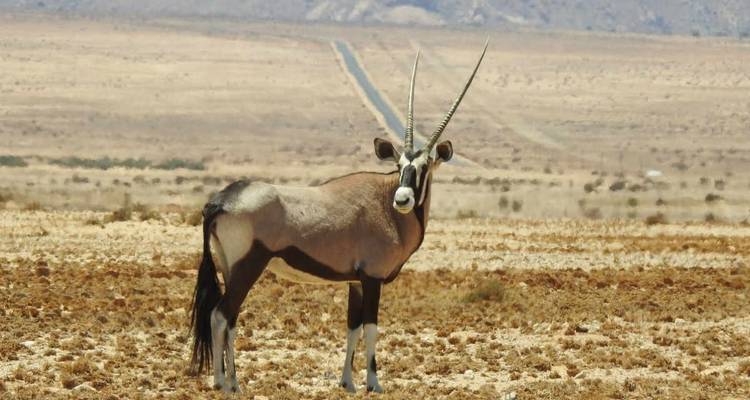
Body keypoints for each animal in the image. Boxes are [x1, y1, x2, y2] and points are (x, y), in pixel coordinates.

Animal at [189, 41, 487, 394]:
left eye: (423, 167)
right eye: (400, 165)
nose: (402, 199)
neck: (384, 206)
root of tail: (221, 200)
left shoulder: (354, 282)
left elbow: (351, 328)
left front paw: (347, 382)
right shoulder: (371, 278)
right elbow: (371, 328)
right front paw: (373, 382)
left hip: (228, 266)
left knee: (225, 317)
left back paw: (228, 379)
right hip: (248, 266)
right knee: (222, 315)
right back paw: (225, 382)